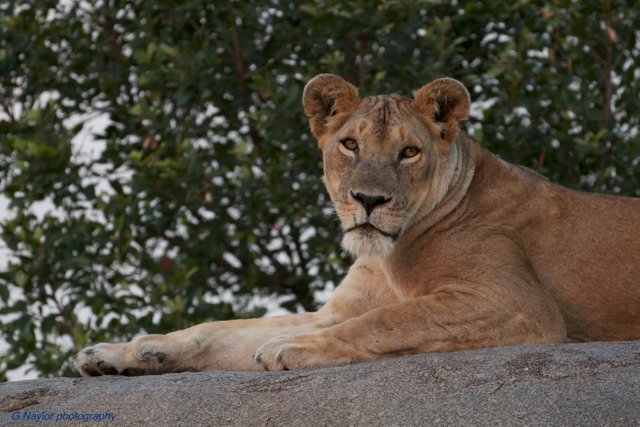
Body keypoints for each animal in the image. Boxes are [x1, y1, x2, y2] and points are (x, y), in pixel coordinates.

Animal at [73, 74, 640, 376]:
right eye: (350, 144)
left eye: (408, 152)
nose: (368, 200)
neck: (387, 254)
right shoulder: (335, 310)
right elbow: (220, 329)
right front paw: (122, 353)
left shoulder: (521, 306)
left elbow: (391, 319)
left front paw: (293, 349)